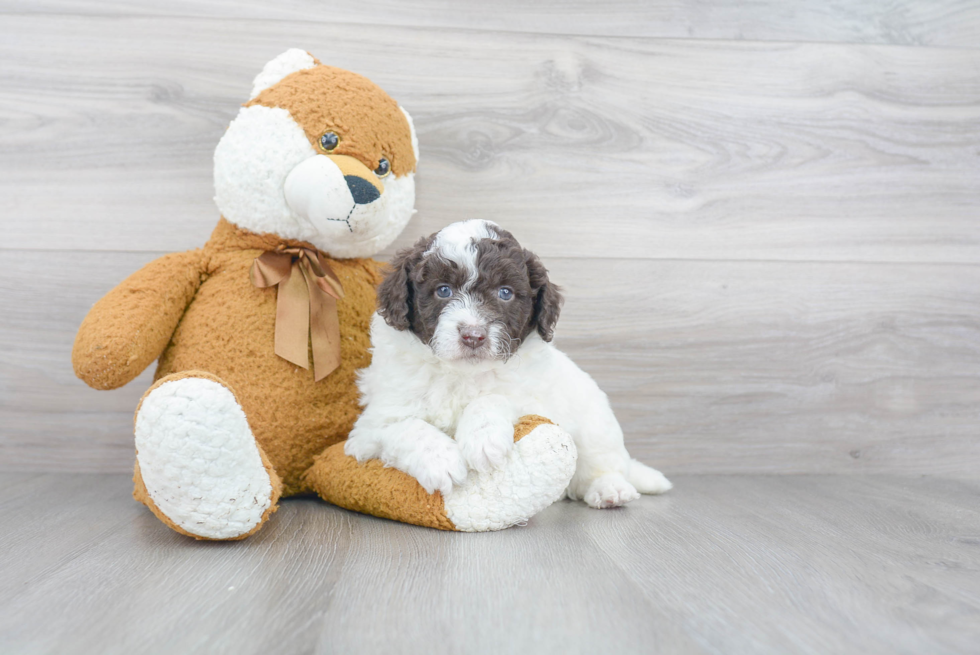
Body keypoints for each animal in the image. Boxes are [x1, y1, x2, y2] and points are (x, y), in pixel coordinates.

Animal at [340, 220, 668, 508]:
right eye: (443, 290)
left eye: (505, 293)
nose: (473, 336)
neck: (462, 374)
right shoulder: (370, 427)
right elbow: (406, 427)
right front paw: (441, 461)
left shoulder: (535, 401)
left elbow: (494, 398)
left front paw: (483, 440)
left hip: (595, 425)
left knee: (603, 464)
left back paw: (610, 489)